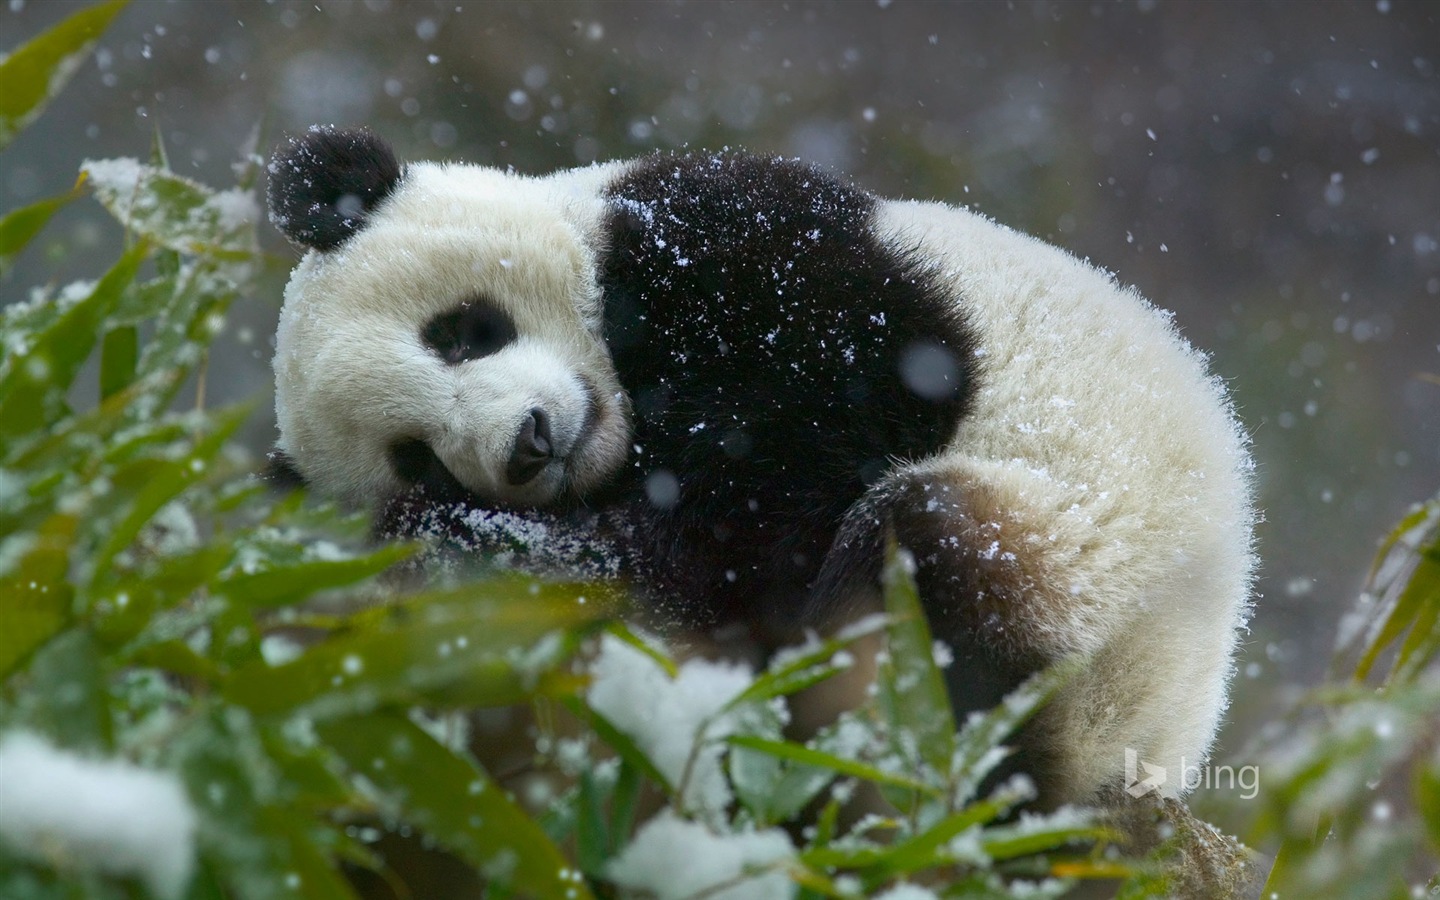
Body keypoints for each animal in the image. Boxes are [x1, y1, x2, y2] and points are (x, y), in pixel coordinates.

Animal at [264, 126, 1255, 806]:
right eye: (418, 456)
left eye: (463, 332)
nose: (529, 445)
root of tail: (1148, 740)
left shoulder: (736, 245)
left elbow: (824, 428)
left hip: (1090, 561)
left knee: (932, 557)